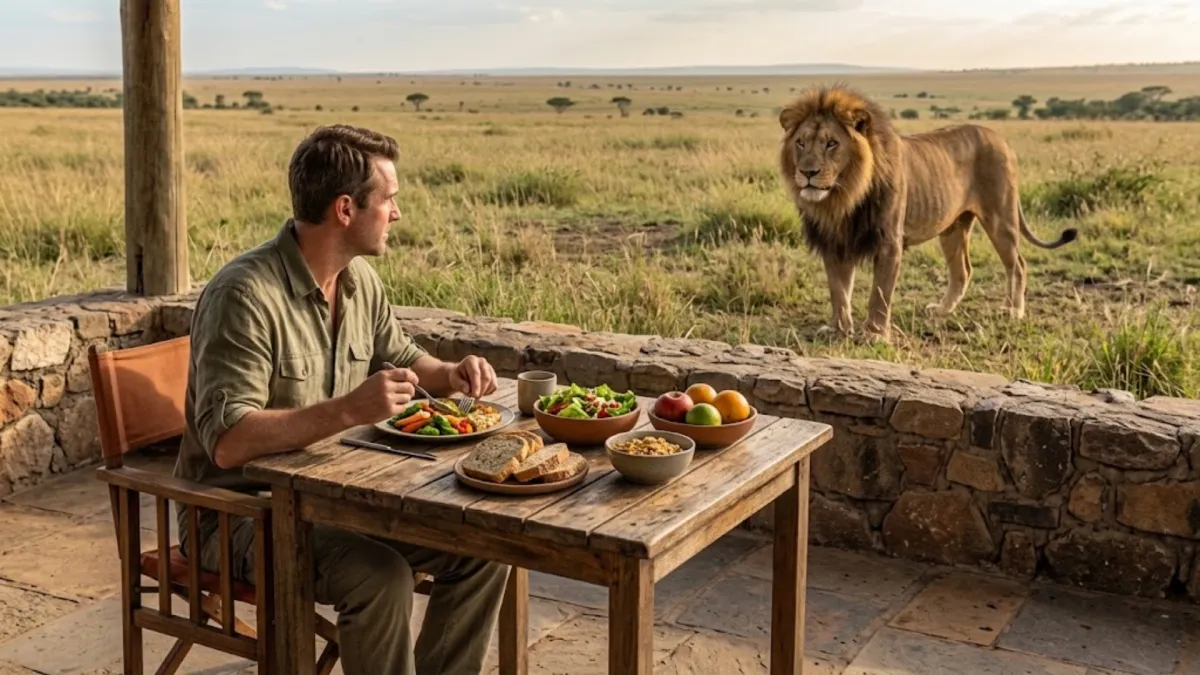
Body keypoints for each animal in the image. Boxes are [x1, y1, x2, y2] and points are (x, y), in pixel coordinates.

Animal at [777, 84, 1077, 341]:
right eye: (801, 143)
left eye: (831, 143)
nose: (807, 172)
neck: (843, 198)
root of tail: (1001, 138)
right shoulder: (834, 242)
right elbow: (838, 292)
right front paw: (838, 330)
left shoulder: (889, 242)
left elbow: (879, 293)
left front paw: (874, 334)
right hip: (953, 228)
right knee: (962, 271)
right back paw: (943, 311)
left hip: (1000, 219)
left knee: (1017, 265)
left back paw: (1013, 311)